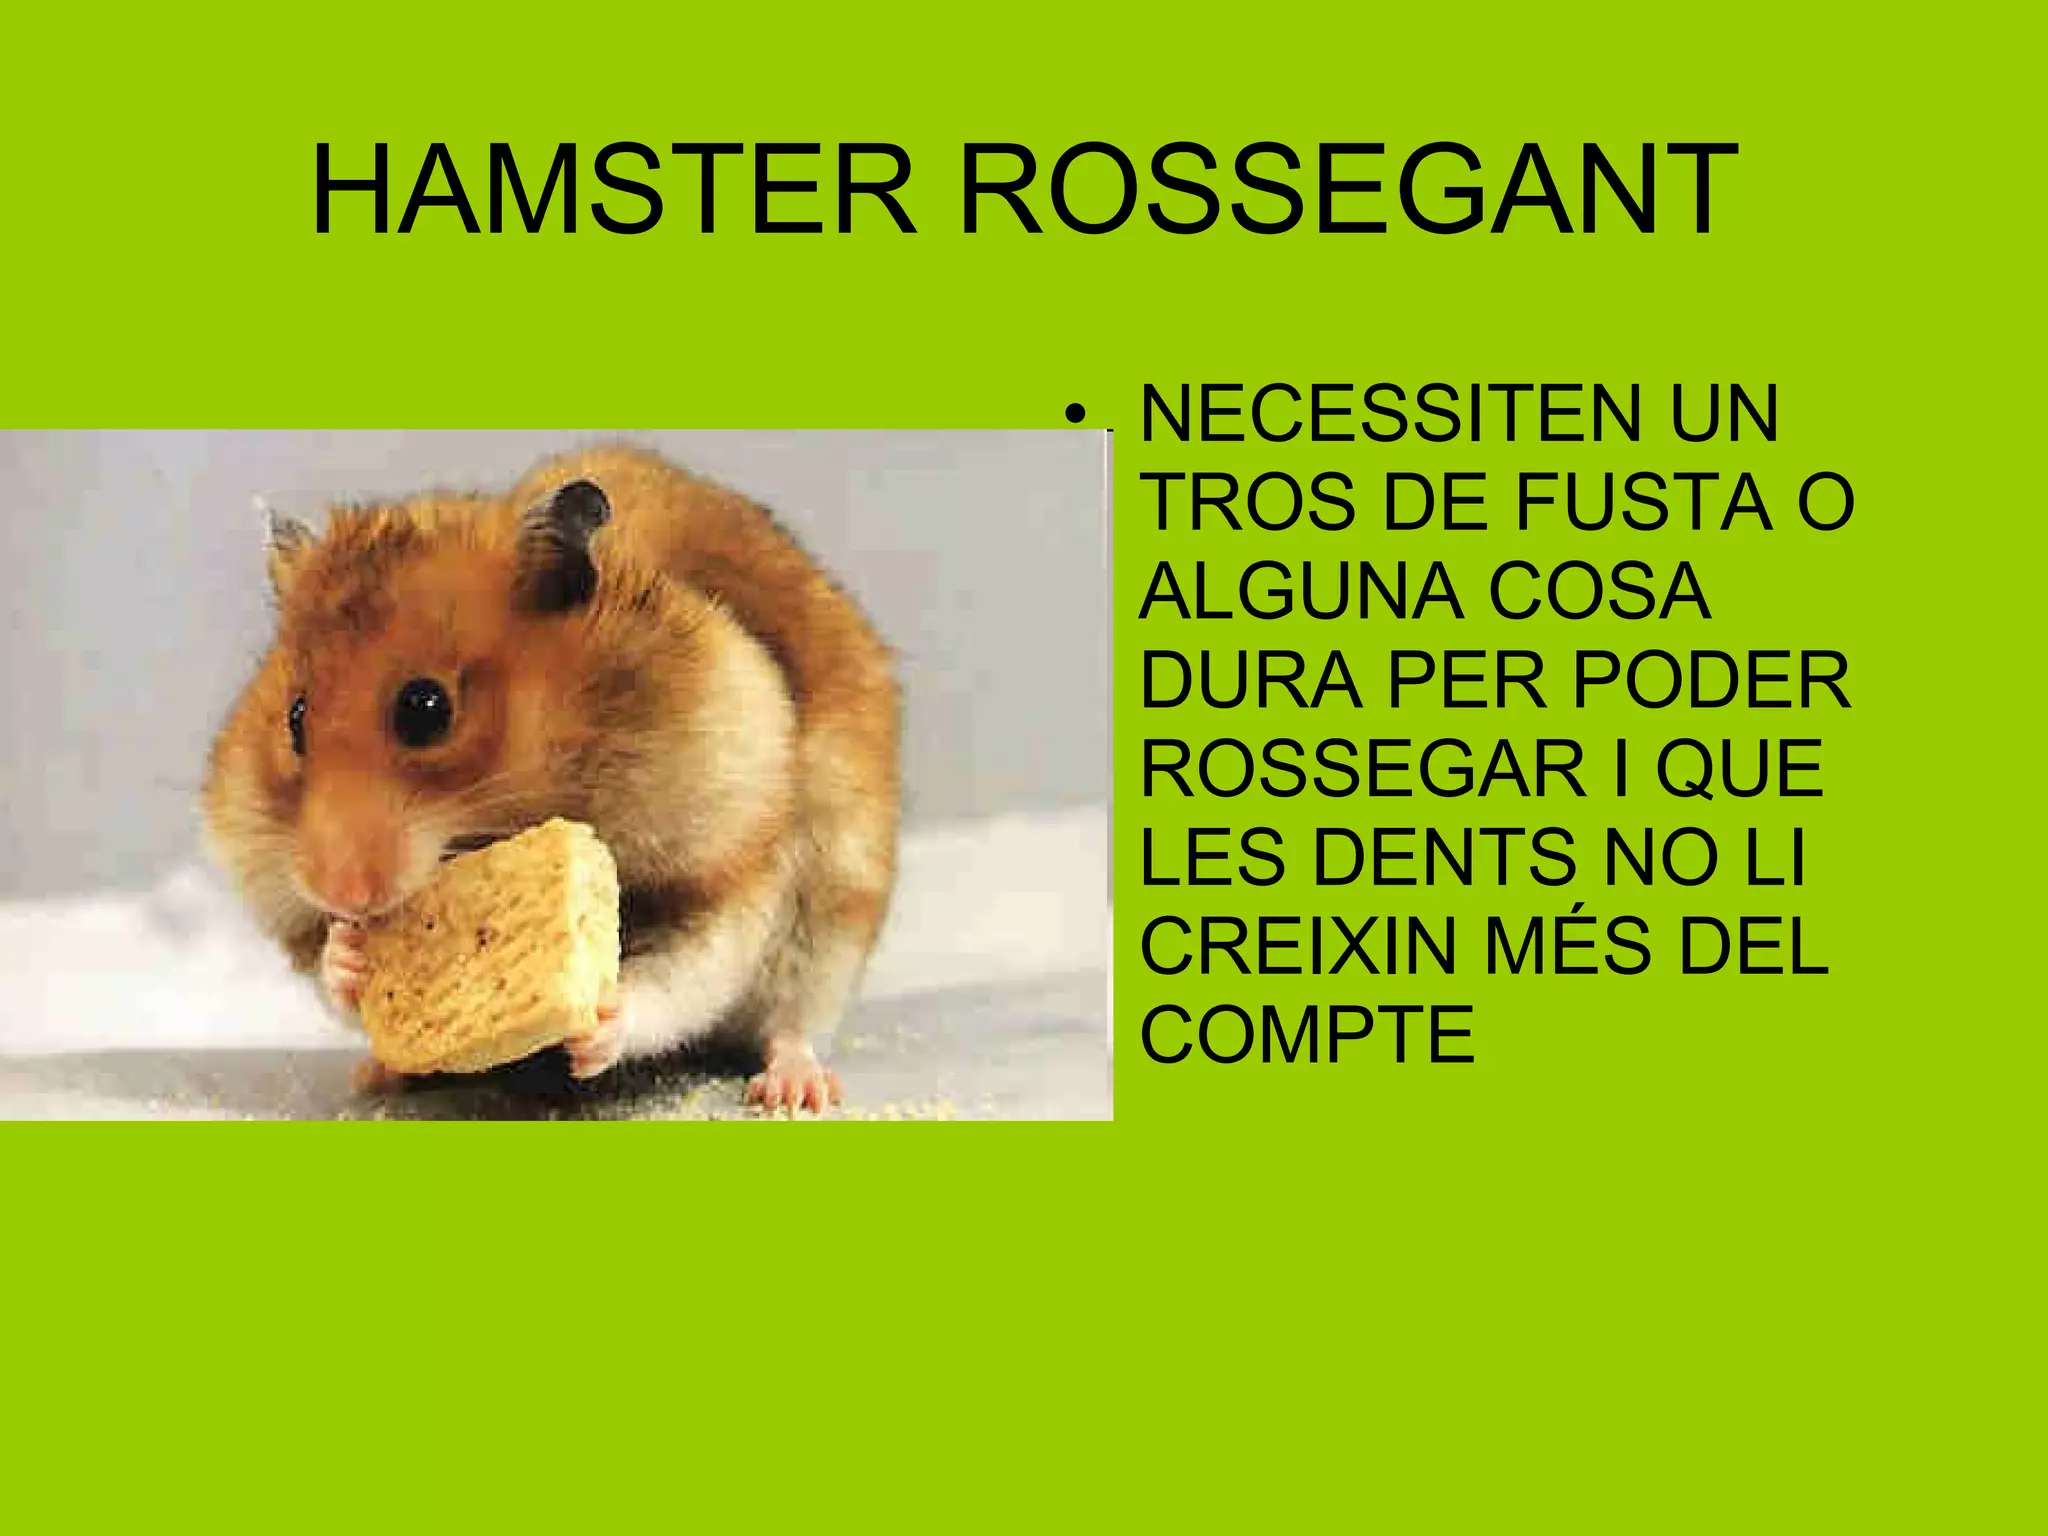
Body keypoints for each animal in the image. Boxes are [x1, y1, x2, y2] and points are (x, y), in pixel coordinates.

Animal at [202, 444, 900, 1111]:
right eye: (294, 719)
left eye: (426, 709)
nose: (342, 895)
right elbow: (322, 964)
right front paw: (348, 952)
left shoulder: (726, 872)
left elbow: (680, 974)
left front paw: (593, 1027)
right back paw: (380, 1073)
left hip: (834, 909)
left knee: (792, 1022)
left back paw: (793, 1090)